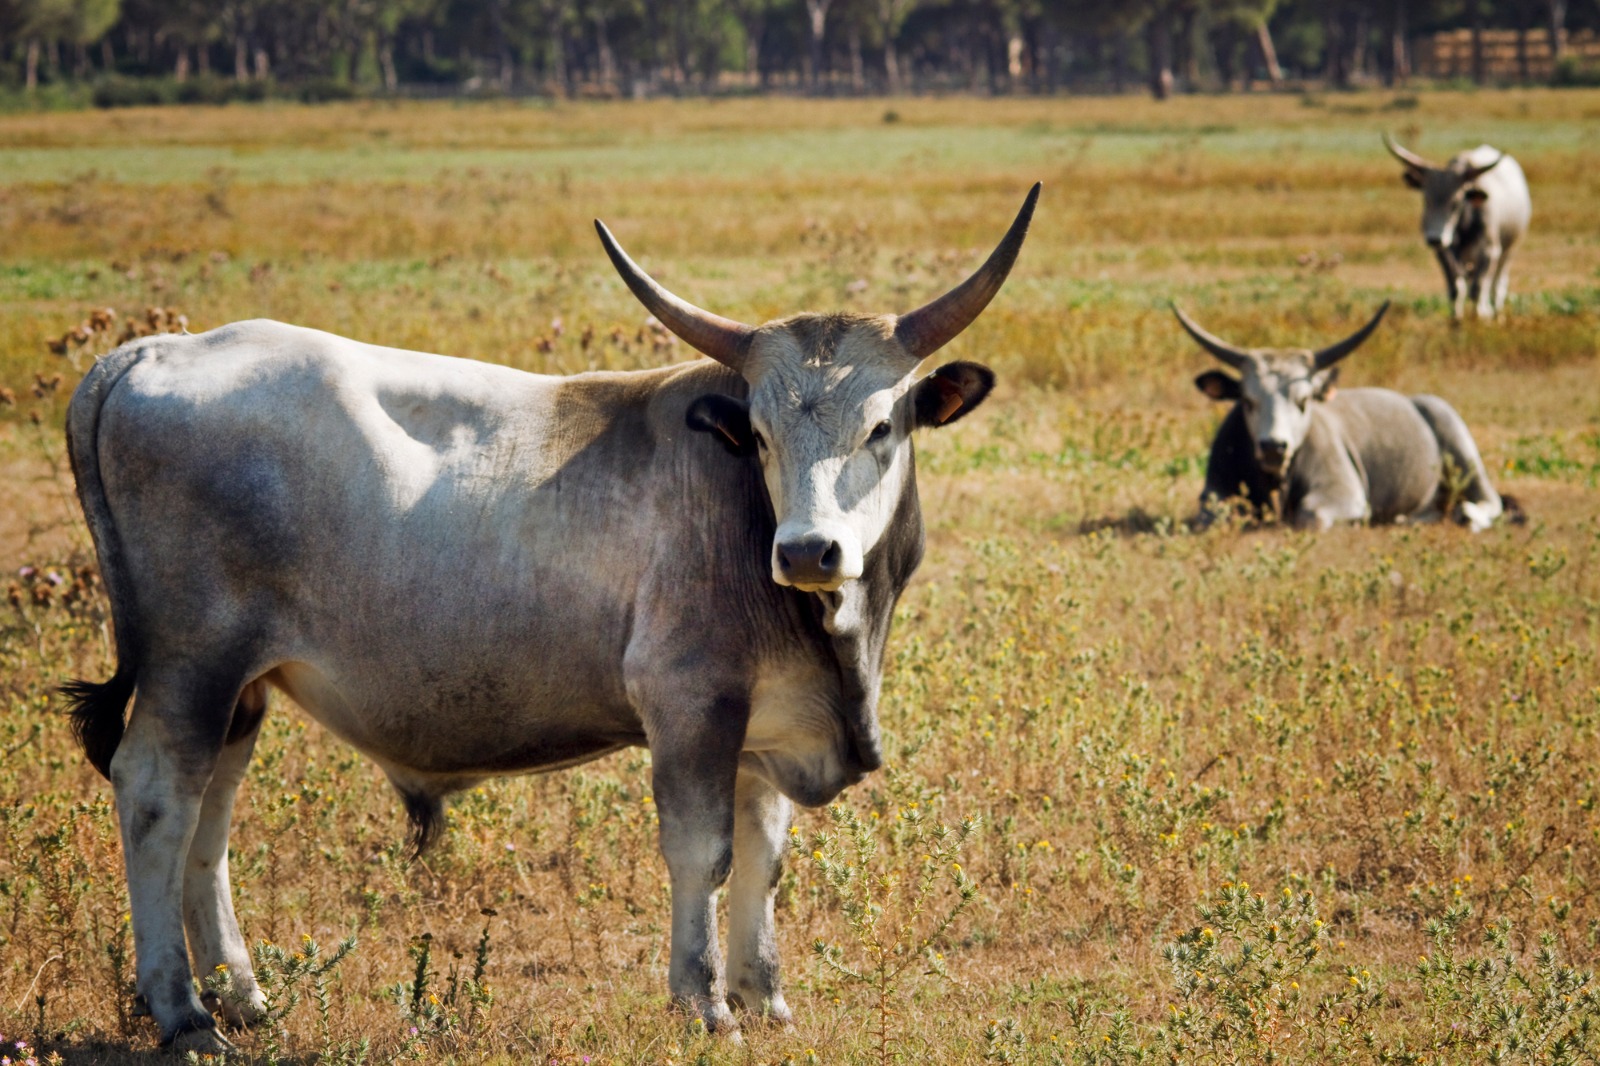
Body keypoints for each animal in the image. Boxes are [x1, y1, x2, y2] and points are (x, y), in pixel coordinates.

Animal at [59, 186, 1036, 1049]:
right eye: (757, 435)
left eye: (881, 427)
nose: (805, 552)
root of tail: (152, 354)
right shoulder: (691, 705)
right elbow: (705, 853)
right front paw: (705, 1003)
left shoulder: (764, 725)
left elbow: (765, 857)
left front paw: (767, 999)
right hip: (194, 665)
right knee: (158, 796)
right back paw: (184, 1013)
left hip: (242, 687)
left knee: (211, 817)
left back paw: (244, 998)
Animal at [1184, 300, 1504, 528]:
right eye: (1248, 401)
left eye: (1304, 401)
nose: (1273, 446)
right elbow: (1214, 515)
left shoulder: (1345, 490)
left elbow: (1311, 514)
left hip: (1460, 444)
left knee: (1490, 501)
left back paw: (1468, 514)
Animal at [1382, 132, 1529, 320]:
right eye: (1426, 199)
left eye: (1456, 202)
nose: (1435, 238)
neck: (1464, 225)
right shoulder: (1444, 252)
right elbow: (1456, 289)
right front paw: (1456, 320)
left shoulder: (1490, 251)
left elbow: (1478, 288)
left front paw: (1478, 317)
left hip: (1509, 249)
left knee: (1497, 284)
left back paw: (1494, 312)